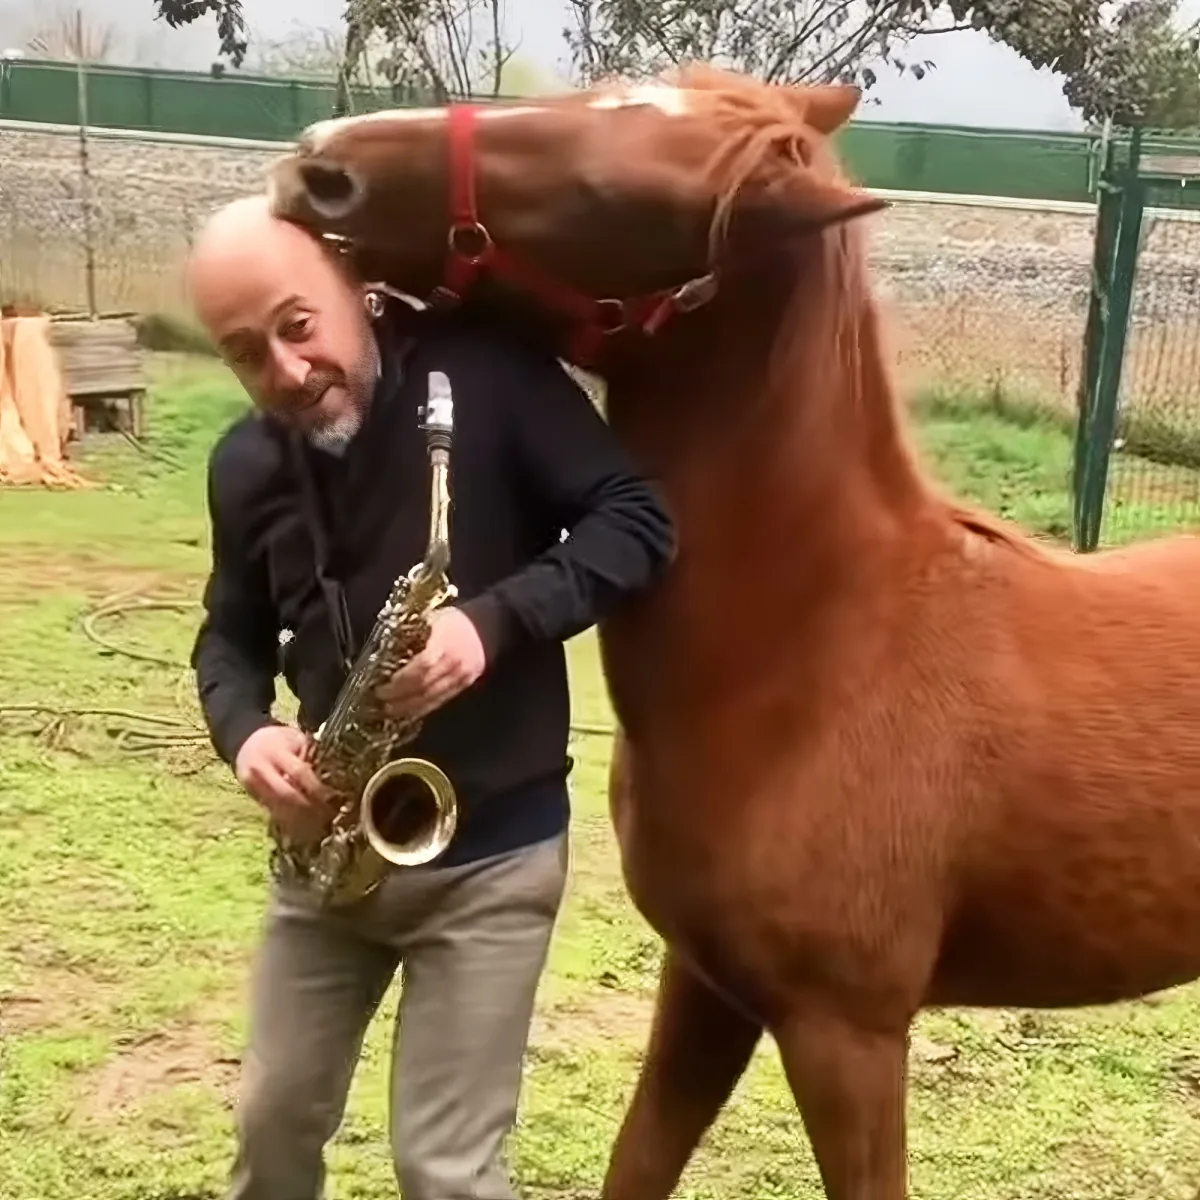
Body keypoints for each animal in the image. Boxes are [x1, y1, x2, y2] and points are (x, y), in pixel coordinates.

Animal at [265, 68, 1200, 1199]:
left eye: (612, 197)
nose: (322, 163)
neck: (815, 662)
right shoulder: (706, 986)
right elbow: (638, 1163)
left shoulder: (848, 1035)